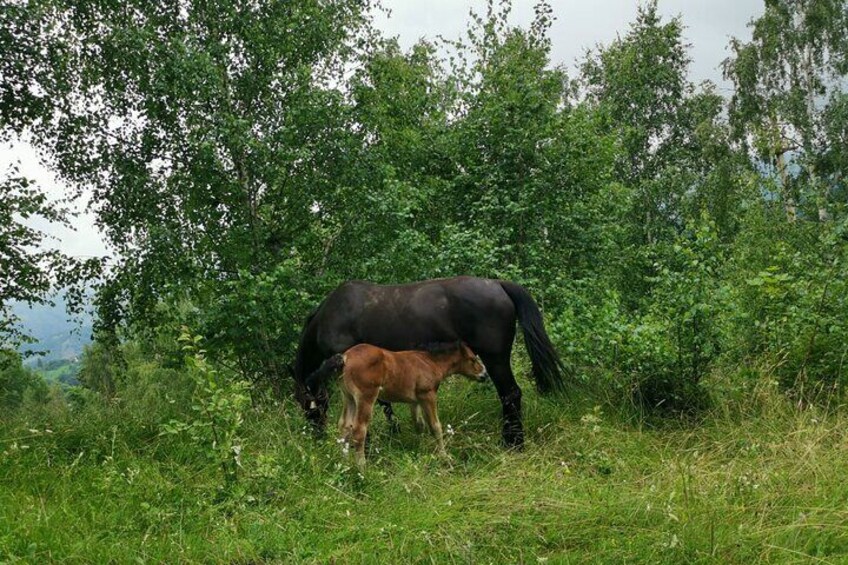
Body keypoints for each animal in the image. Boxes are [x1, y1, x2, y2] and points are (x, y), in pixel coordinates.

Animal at [294, 276, 568, 448]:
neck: (332, 315)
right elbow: (386, 406)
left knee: (511, 395)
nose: (316, 438)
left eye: (306, 405)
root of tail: (498, 285)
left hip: (495, 358)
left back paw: (512, 444)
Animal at [304, 342, 490, 470]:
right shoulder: (428, 395)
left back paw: (342, 462)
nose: (484, 374)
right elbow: (435, 426)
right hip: (366, 397)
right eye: (472, 359)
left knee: (344, 426)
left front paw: (420, 448)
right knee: (359, 430)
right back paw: (362, 467)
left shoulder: (415, 401)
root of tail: (345, 357)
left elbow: (419, 425)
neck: (429, 362)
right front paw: (444, 457)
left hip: (348, 398)